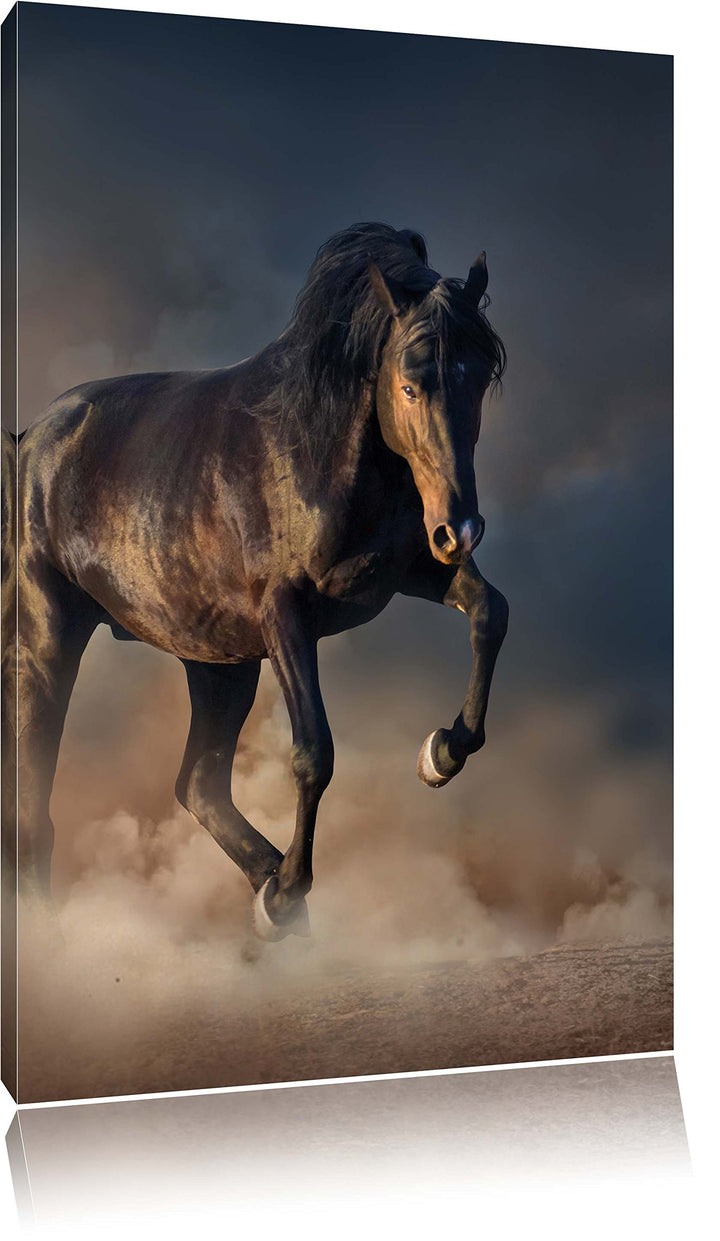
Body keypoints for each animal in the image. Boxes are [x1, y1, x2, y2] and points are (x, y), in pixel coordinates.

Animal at [2, 222, 508, 942]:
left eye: (482, 376)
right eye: (411, 383)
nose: (460, 528)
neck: (316, 448)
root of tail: (26, 444)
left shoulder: (409, 572)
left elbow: (491, 611)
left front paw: (440, 753)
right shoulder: (286, 616)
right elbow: (313, 751)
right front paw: (291, 887)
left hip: (219, 663)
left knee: (199, 783)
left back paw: (272, 895)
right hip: (47, 642)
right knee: (35, 806)